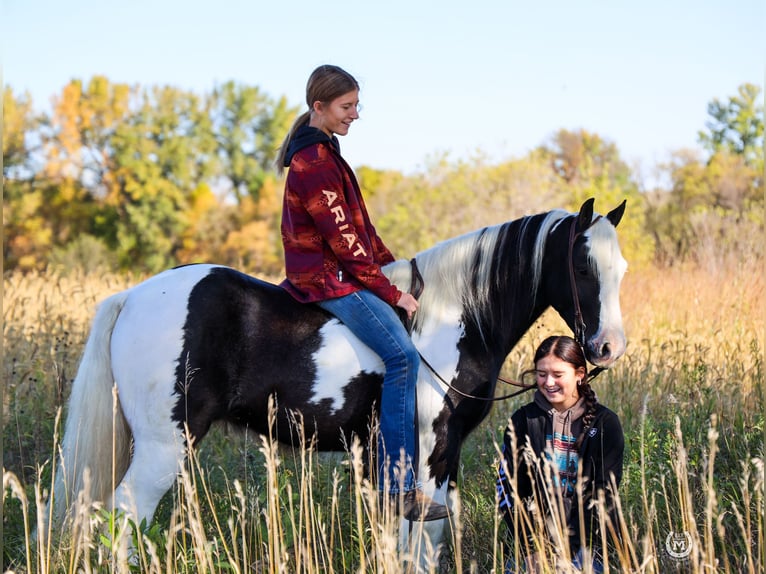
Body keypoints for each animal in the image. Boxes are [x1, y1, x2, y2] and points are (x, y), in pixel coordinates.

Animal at [48, 198, 632, 560]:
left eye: (621, 269)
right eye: (583, 269)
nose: (608, 348)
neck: (454, 317)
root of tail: (133, 297)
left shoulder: (436, 459)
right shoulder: (428, 452)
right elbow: (423, 539)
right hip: (164, 445)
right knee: (124, 516)